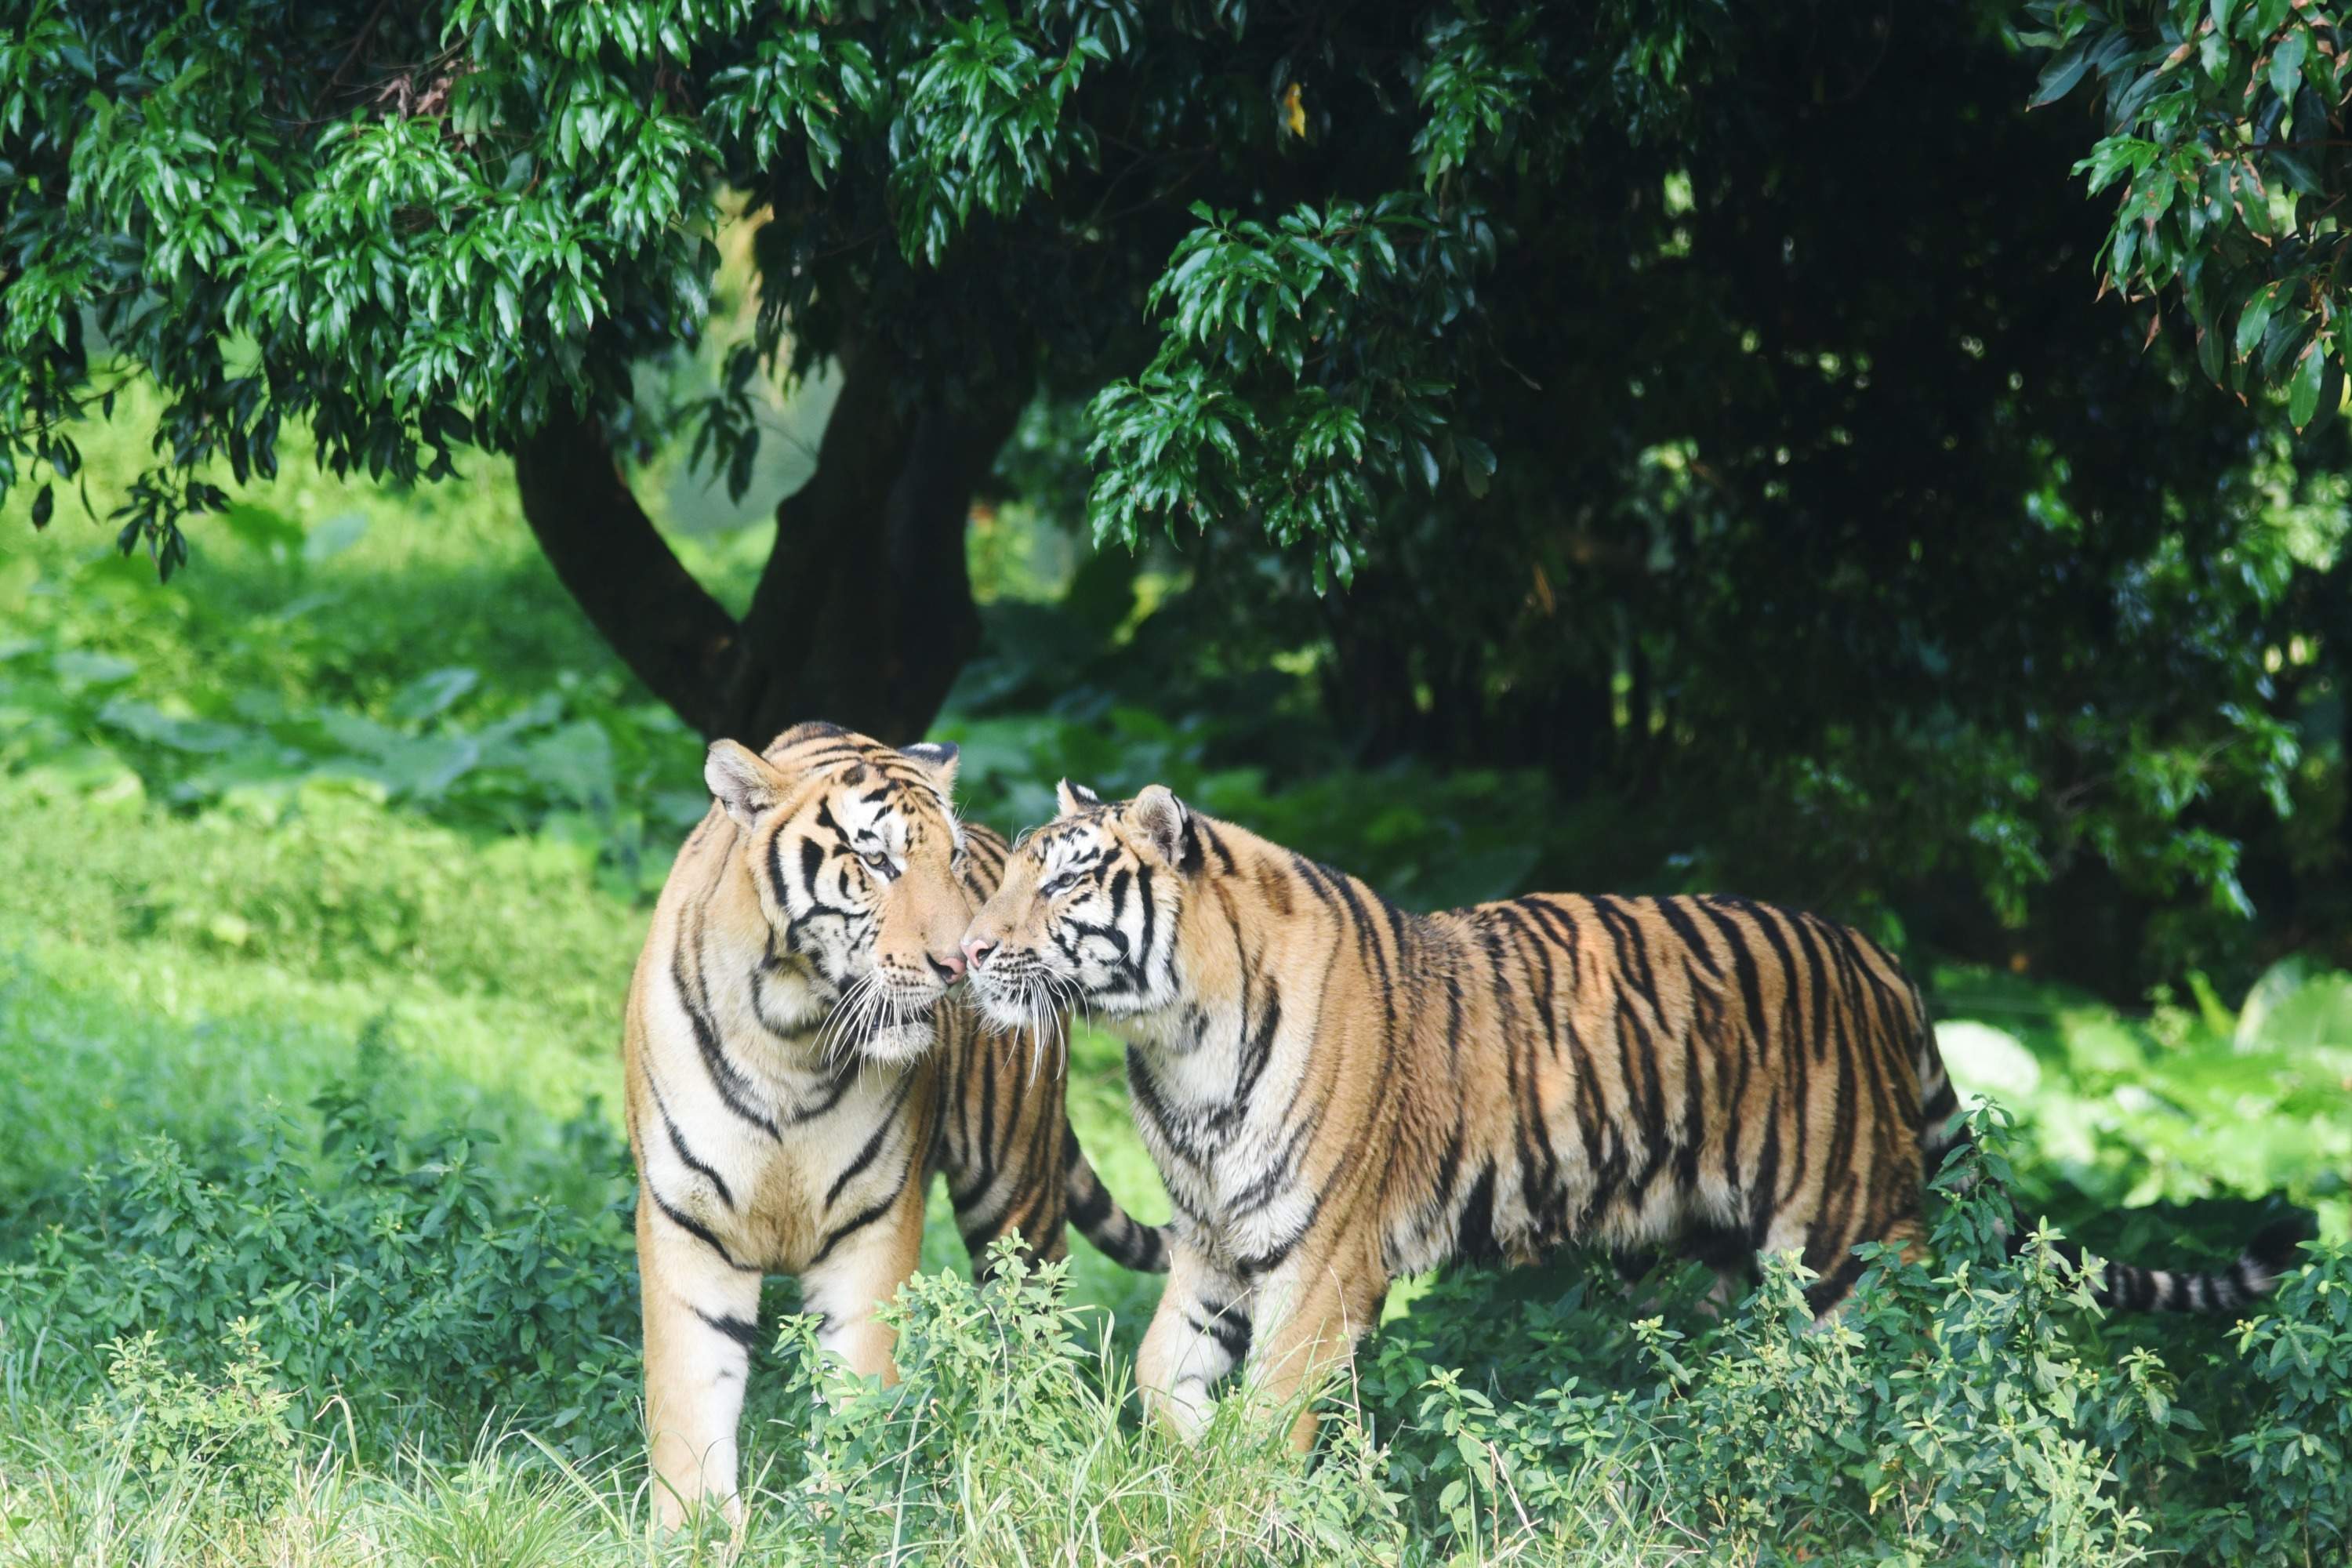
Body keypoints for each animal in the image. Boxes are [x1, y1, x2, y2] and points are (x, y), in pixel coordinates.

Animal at [626, 728, 1167, 1523]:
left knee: (1031, 1331)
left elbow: (856, 1394)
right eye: (877, 862)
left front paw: (842, 1521)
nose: (960, 964)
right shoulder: (686, 1222)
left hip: (1016, 1192)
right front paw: (694, 1532)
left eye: (951, 863)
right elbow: (690, 1406)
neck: (790, 1039)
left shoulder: (874, 1224)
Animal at [950, 780, 2296, 1448]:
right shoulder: (1217, 1248)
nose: (963, 951)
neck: (1172, 1049)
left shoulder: (1320, 1268)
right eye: (1008, 871)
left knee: (1931, 1365)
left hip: (1852, 1247)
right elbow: (1158, 1381)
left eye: (1061, 883)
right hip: (1729, 1263)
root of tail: (1879, 958)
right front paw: (1169, 1475)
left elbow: (1268, 1426)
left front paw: (1233, 1511)